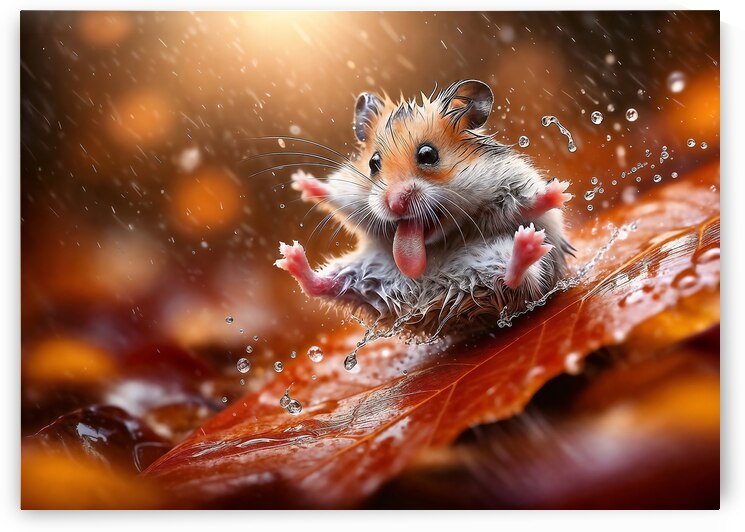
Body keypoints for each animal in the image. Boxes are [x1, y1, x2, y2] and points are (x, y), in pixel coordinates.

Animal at [274, 79, 573, 338]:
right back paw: (290, 256)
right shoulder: (355, 200)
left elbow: (526, 204)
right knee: (323, 286)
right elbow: (337, 198)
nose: (395, 203)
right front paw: (302, 182)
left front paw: (560, 190)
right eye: (373, 163)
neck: (442, 237)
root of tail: (436, 301)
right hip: (363, 273)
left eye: (428, 155)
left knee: (515, 280)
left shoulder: (507, 183)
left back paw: (528, 243)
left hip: (504, 264)